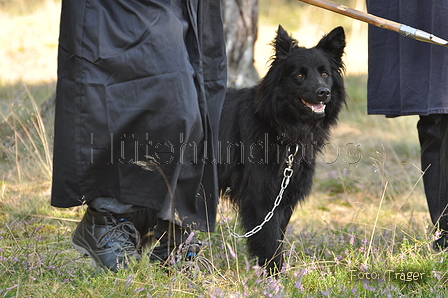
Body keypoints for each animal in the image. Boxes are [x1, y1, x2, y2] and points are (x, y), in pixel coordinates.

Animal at [219, 26, 344, 272]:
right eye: (299, 75)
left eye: (325, 74)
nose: (323, 92)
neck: (280, 126)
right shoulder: (262, 197)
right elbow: (269, 241)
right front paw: (273, 275)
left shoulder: (285, 195)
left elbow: (278, 235)